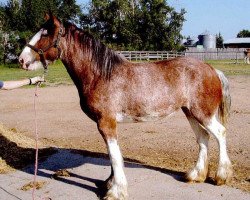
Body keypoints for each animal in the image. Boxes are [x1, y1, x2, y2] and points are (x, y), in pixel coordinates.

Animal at [19, 14, 232, 200]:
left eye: (45, 33)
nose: (21, 59)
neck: (100, 74)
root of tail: (212, 69)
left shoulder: (106, 123)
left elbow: (115, 156)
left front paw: (115, 191)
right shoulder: (107, 124)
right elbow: (112, 156)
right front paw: (109, 183)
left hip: (203, 114)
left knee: (220, 133)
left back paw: (222, 176)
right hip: (190, 112)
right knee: (203, 138)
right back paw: (195, 175)